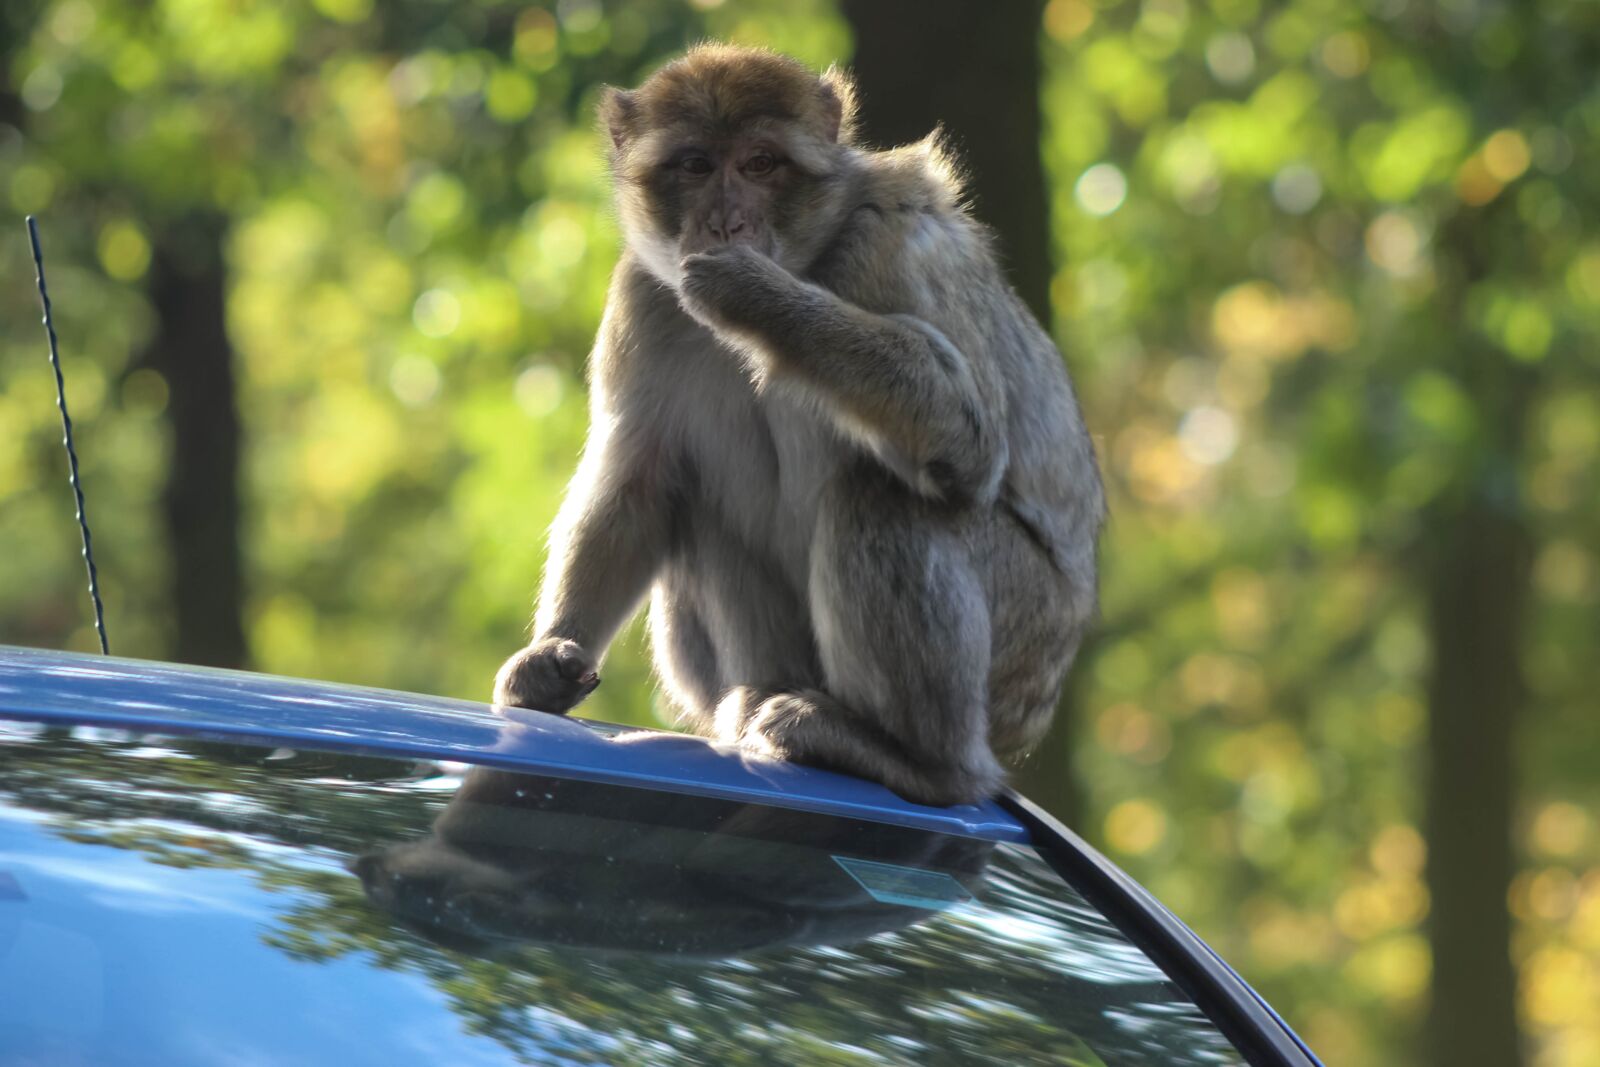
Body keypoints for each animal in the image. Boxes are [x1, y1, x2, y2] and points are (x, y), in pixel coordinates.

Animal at [492, 45, 1107, 806]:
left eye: (761, 164)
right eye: (696, 165)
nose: (726, 224)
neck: (813, 252)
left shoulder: (898, 241)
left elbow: (969, 438)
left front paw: (757, 297)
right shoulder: (640, 294)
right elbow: (637, 477)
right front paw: (549, 655)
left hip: (1022, 646)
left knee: (884, 495)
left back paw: (915, 760)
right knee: (700, 506)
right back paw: (761, 700)